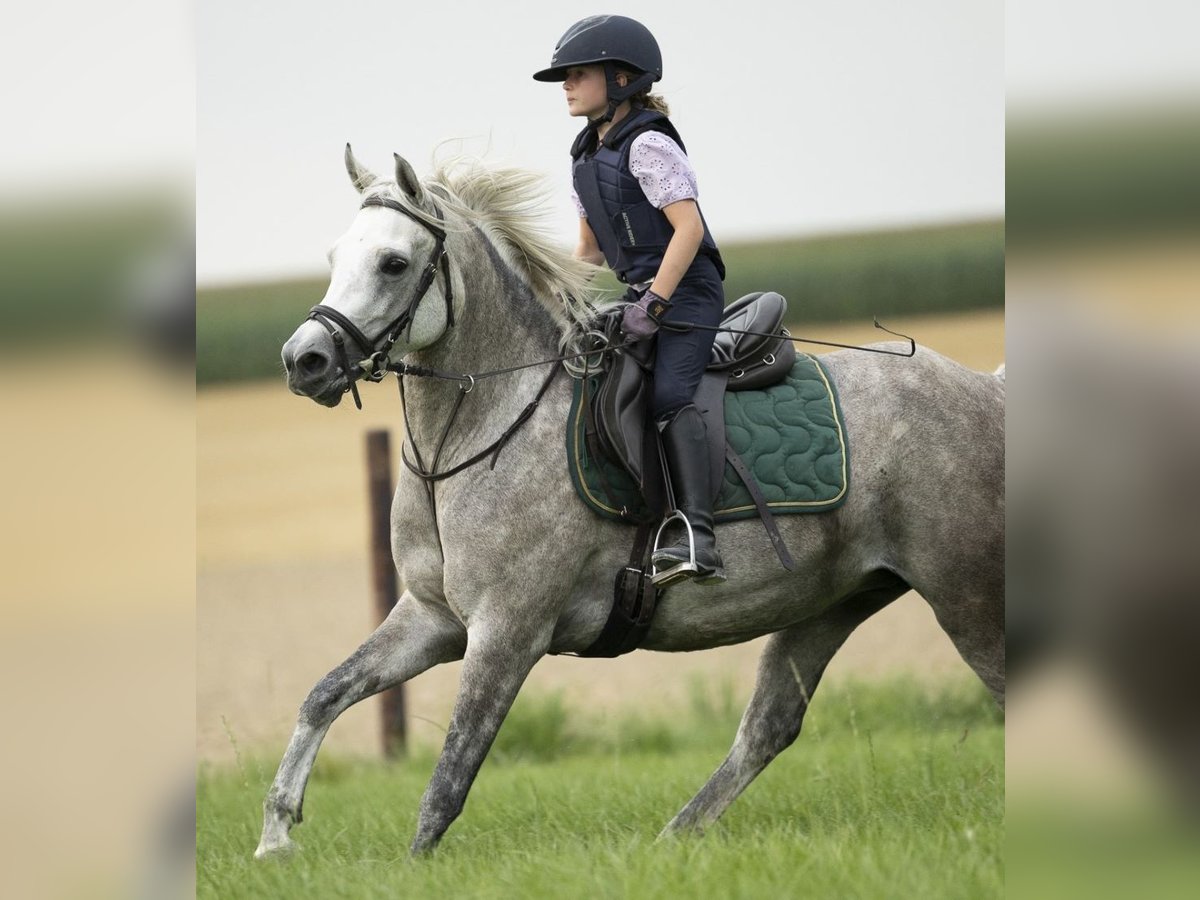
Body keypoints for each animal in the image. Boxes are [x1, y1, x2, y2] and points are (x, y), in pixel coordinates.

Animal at [253, 146, 1003, 859]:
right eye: (335, 257)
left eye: (394, 262)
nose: (304, 361)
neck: (471, 437)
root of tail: (985, 391)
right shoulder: (434, 619)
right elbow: (325, 694)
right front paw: (275, 837)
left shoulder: (508, 630)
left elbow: (450, 775)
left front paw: (412, 866)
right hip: (832, 600)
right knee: (769, 727)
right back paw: (674, 841)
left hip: (963, 594)